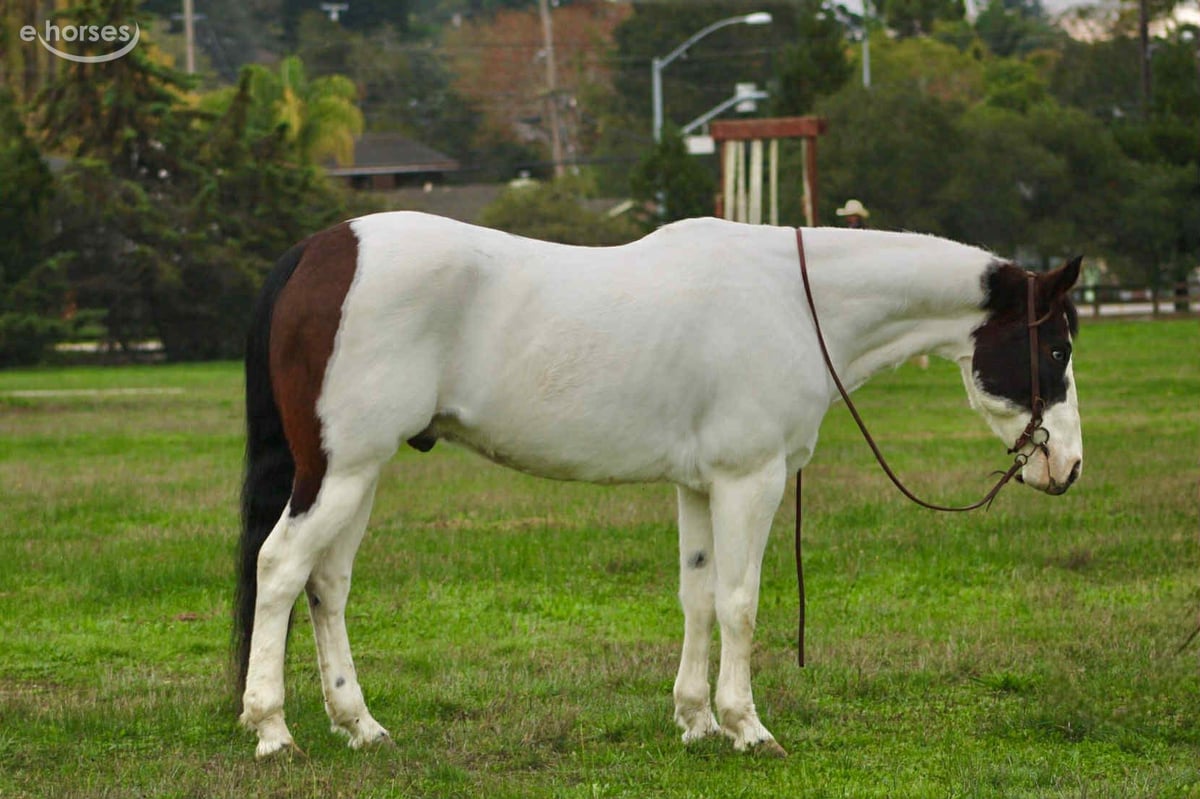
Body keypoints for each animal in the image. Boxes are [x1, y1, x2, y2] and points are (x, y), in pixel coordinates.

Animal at [234, 211, 1082, 759]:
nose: (1067, 466)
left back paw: (359, 724)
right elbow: (740, 602)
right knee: (280, 567)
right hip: (339, 471)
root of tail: (321, 251)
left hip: (359, 473)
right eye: (1056, 347)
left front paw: (696, 719)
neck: (792, 302)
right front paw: (747, 726)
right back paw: (273, 728)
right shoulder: (749, 480)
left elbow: (697, 596)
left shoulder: (699, 486)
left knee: (327, 583)